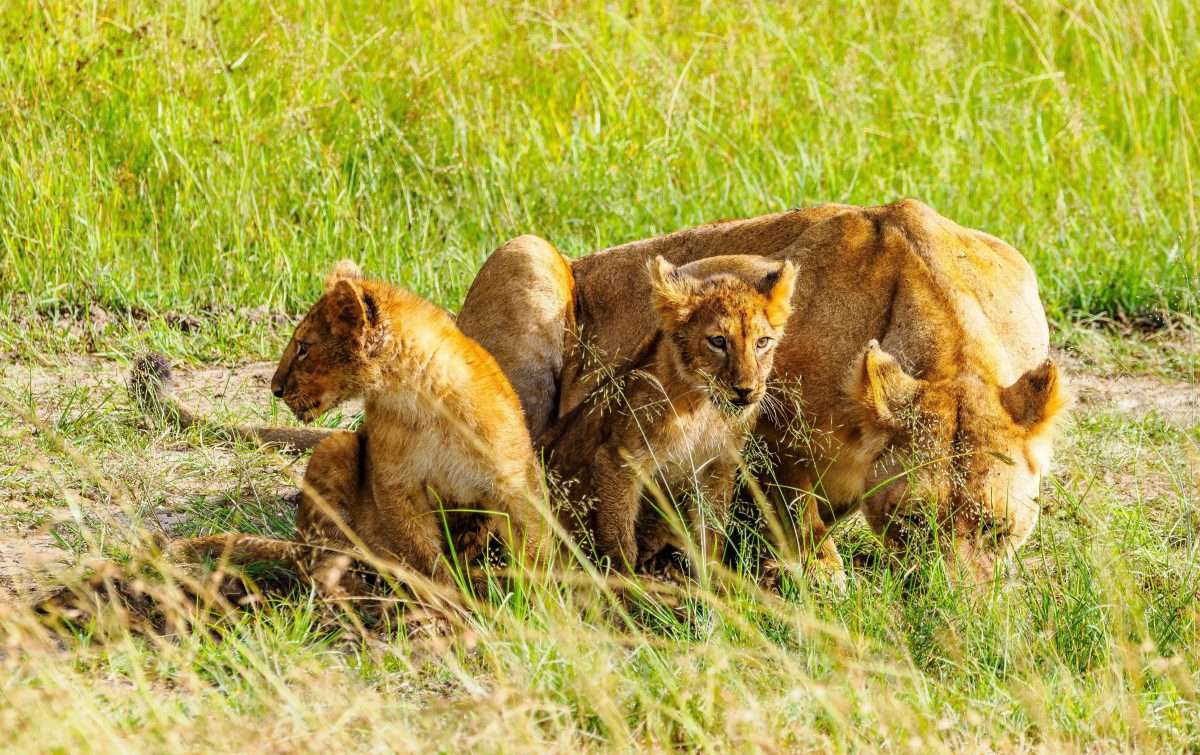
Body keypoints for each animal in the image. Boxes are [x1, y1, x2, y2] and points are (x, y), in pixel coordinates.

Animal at [152, 260, 547, 598]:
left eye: (304, 347)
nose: (275, 389)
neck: (419, 400)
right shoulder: (396, 486)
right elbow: (424, 558)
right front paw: (445, 603)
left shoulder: (513, 482)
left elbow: (534, 548)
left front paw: (537, 605)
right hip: (335, 447)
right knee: (315, 557)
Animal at [540, 255, 796, 573]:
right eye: (718, 341)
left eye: (762, 343)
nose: (745, 391)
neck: (704, 411)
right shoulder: (618, 460)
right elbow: (619, 535)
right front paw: (625, 582)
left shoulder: (717, 467)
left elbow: (712, 535)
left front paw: (713, 581)